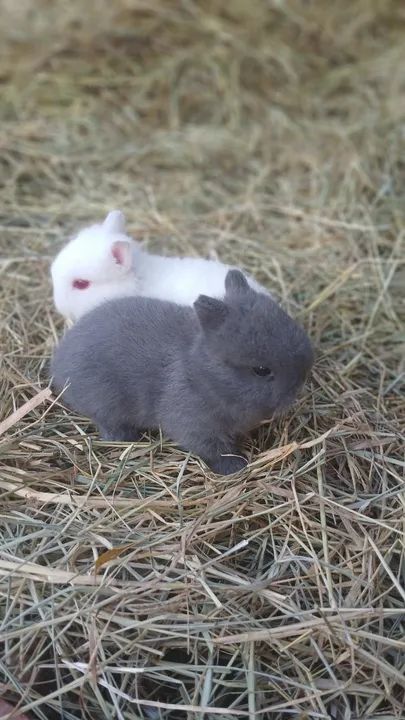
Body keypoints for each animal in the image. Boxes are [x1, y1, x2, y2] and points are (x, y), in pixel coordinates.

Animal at [50, 269, 313, 475]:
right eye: (261, 370)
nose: (300, 383)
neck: (201, 373)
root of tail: (59, 362)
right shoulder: (195, 425)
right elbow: (214, 450)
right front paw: (236, 467)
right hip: (105, 401)